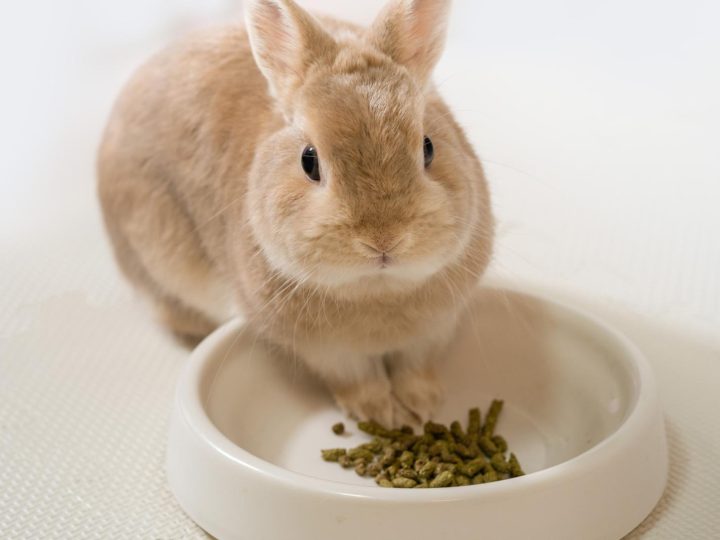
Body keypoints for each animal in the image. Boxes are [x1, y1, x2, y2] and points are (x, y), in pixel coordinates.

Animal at [97, 0, 494, 428]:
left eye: (428, 147)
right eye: (309, 161)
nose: (383, 239)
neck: (376, 290)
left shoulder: (434, 330)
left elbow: (415, 367)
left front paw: (422, 406)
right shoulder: (325, 350)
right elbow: (356, 378)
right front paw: (380, 414)